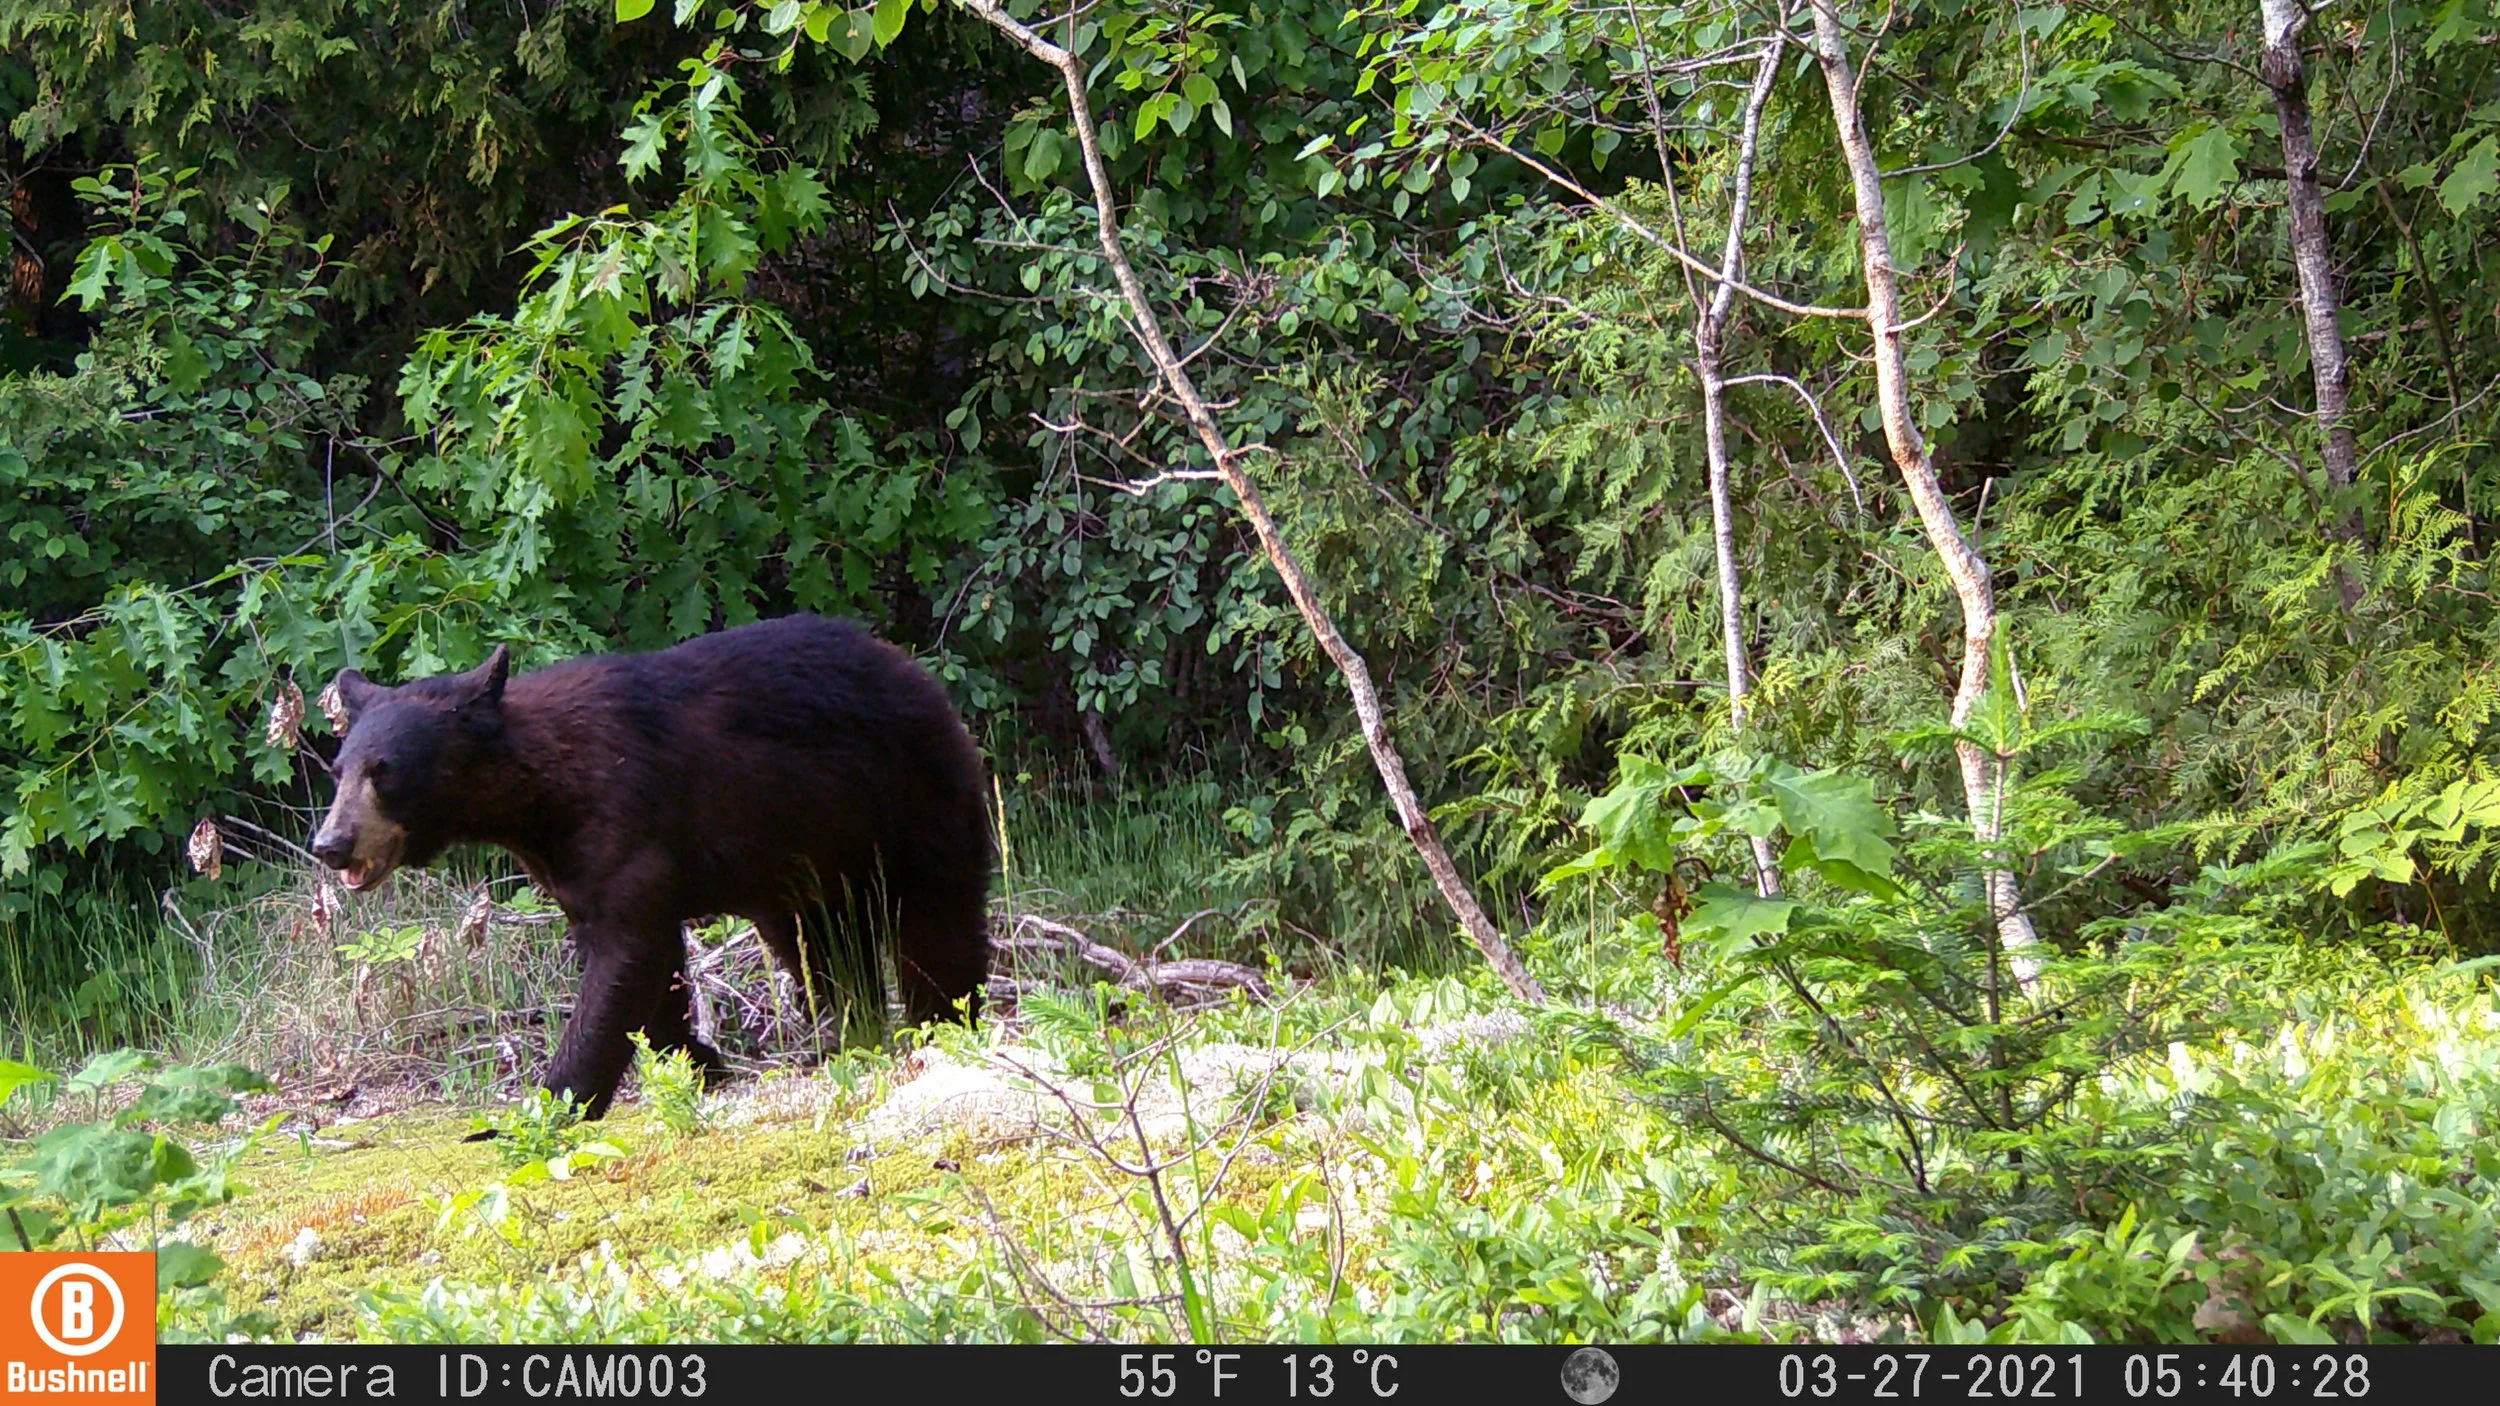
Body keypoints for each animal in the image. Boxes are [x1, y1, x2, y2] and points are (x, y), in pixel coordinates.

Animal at [308, 613, 993, 1116]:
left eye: (386, 772)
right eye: (340, 770)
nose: (331, 843)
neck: (543, 793)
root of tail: (917, 671)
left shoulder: (625, 819)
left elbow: (629, 953)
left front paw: (548, 1104)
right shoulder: (571, 867)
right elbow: (642, 966)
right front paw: (700, 1060)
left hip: (912, 799)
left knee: (937, 920)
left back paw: (941, 1021)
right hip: (807, 861)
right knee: (821, 946)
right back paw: (850, 1030)